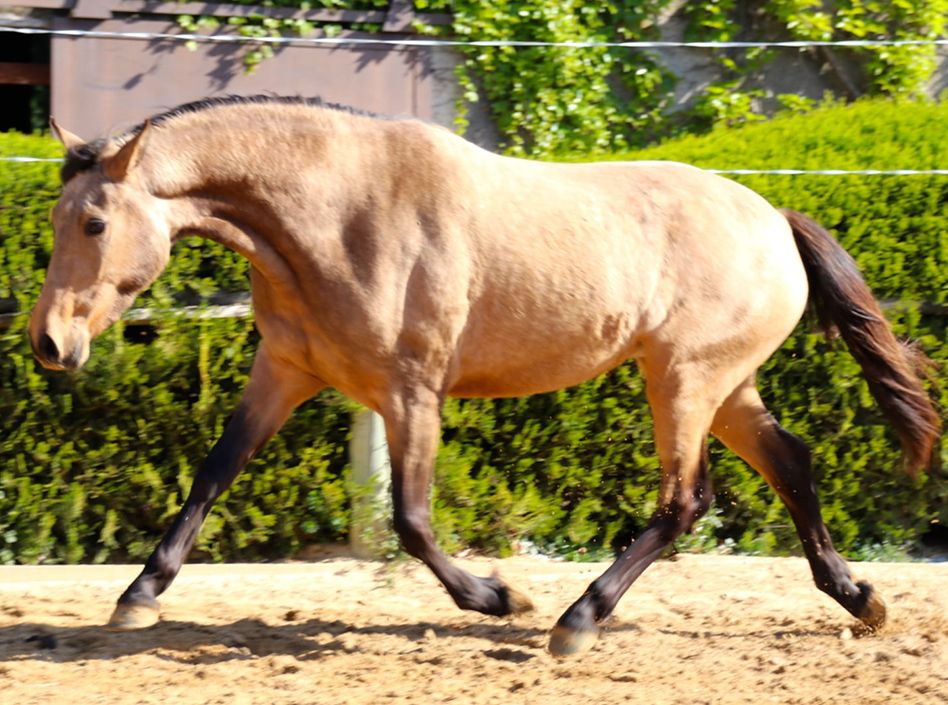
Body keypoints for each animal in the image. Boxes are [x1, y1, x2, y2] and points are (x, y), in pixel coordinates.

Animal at [29, 93, 940, 656]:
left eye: (94, 221)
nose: (48, 343)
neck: (336, 211)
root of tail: (774, 218)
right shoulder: (283, 369)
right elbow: (214, 472)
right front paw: (139, 594)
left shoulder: (412, 392)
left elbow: (411, 520)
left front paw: (502, 597)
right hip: (722, 385)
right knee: (791, 461)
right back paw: (861, 598)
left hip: (682, 378)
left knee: (685, 500)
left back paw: (577, 619)